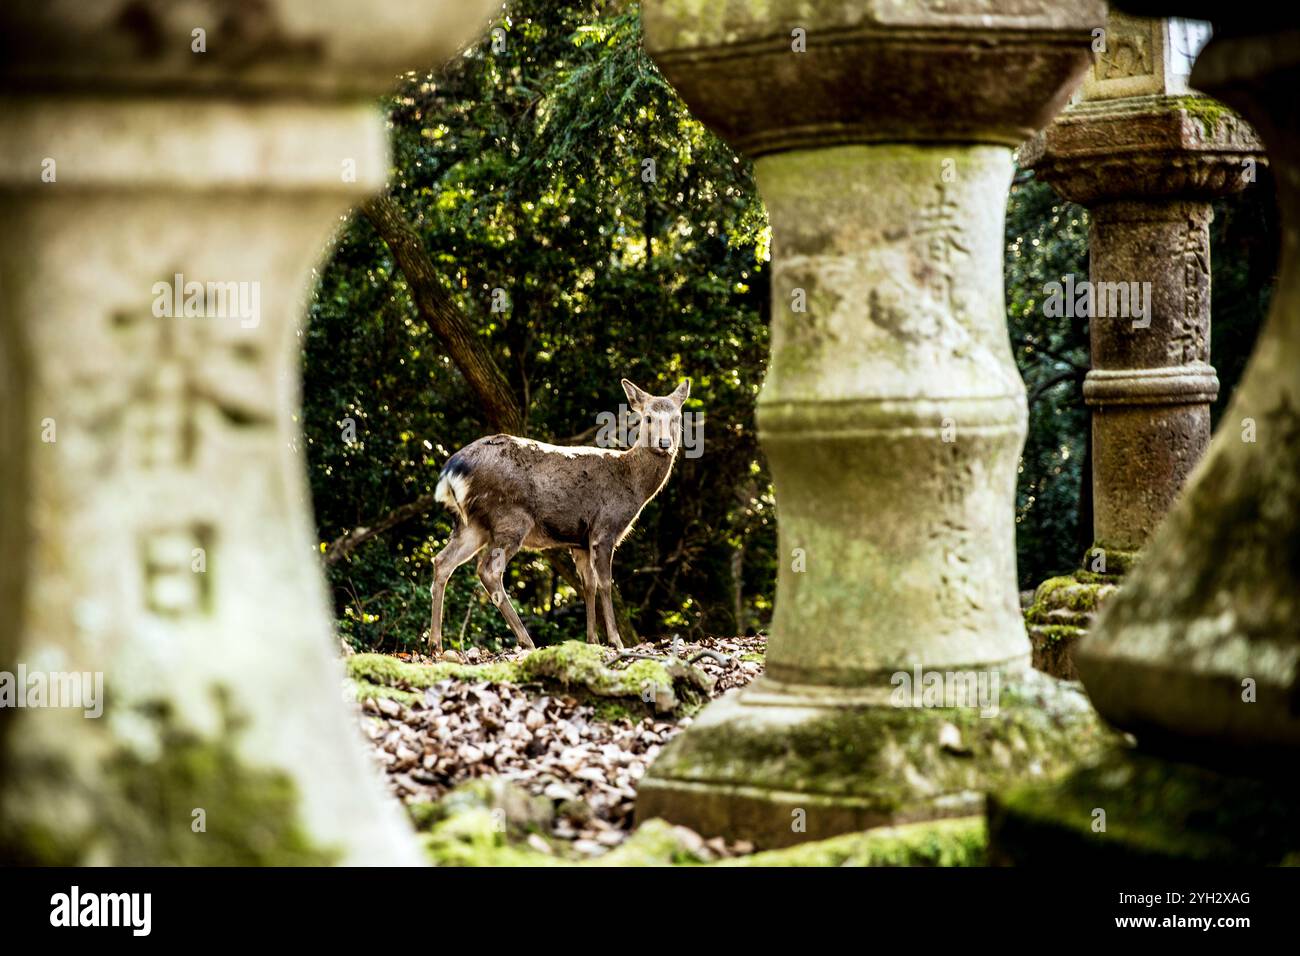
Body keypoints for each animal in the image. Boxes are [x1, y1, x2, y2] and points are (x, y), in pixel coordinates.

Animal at [428, 378, 690, 657]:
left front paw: (592, 640)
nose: (664, 443)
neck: (633, 485)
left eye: (677, 417)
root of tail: (451, 470)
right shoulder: (604, 528)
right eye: (648, 417)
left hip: (471, 525)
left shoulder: (580, 542)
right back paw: (526, 640)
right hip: (510, 517)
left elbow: (588, 585)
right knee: (488, 570)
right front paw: (616, 641)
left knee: (442, 561)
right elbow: (606, 583)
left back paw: (435, 643)